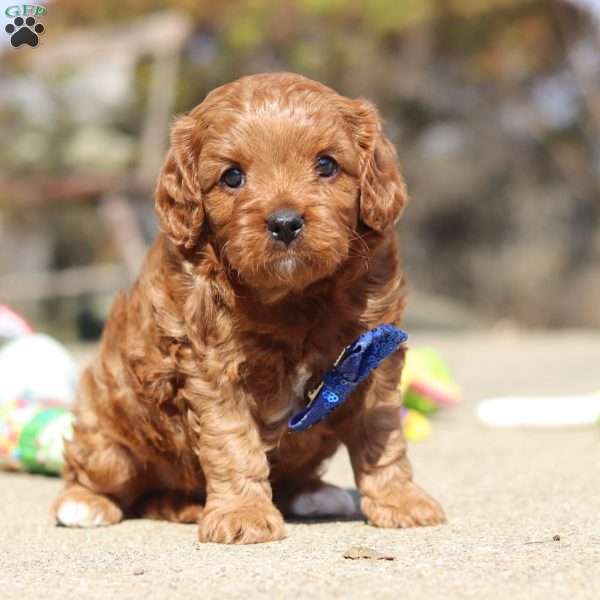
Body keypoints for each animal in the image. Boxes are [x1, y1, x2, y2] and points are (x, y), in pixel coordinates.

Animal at [52, 71, 446, 544]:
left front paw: (400, 500)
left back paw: (308, 494)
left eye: (327, 165)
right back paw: (85, 503)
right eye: (232, 176)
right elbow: (232, 441)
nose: (285, 223)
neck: (293, 296)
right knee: (99, 469)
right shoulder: (210, 365)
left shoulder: (370, 354)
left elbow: (382, 432)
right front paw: (243, 514)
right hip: (110, 431)